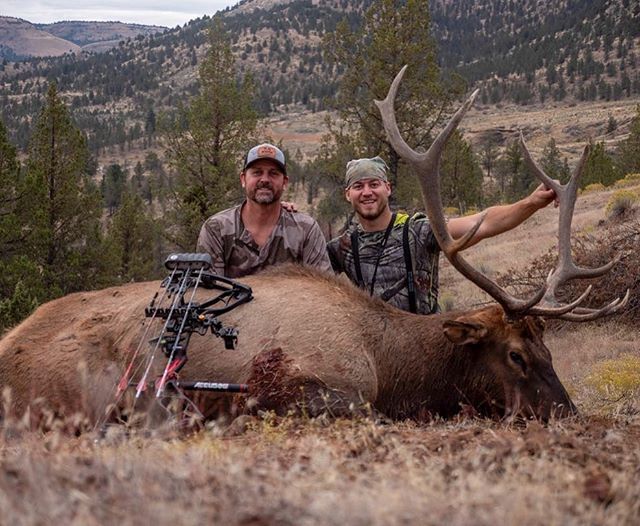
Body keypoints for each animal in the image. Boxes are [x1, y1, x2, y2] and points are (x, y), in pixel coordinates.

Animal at [0, 68, 628, 425]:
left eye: (549, 351)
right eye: (516, 355)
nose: (571, 417)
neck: (393, 364)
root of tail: (12, 341)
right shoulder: (305, 384)